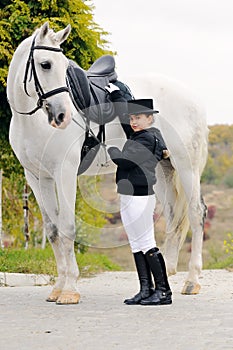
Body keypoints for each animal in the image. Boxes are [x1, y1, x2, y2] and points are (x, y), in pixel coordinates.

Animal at [7, 23, 208, 304]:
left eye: (63, 66)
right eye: (45, 64)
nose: (62, 116)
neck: (31, 121)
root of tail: (193, 98)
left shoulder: (64, 173)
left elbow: (67, 227)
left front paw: (70, 289)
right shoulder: (37, 178)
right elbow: (53, 230)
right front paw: (58, 287)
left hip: (186, 166)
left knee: (196, 213)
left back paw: (192, 281)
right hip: (164, 169)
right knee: (172, 216)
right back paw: (167, 273)